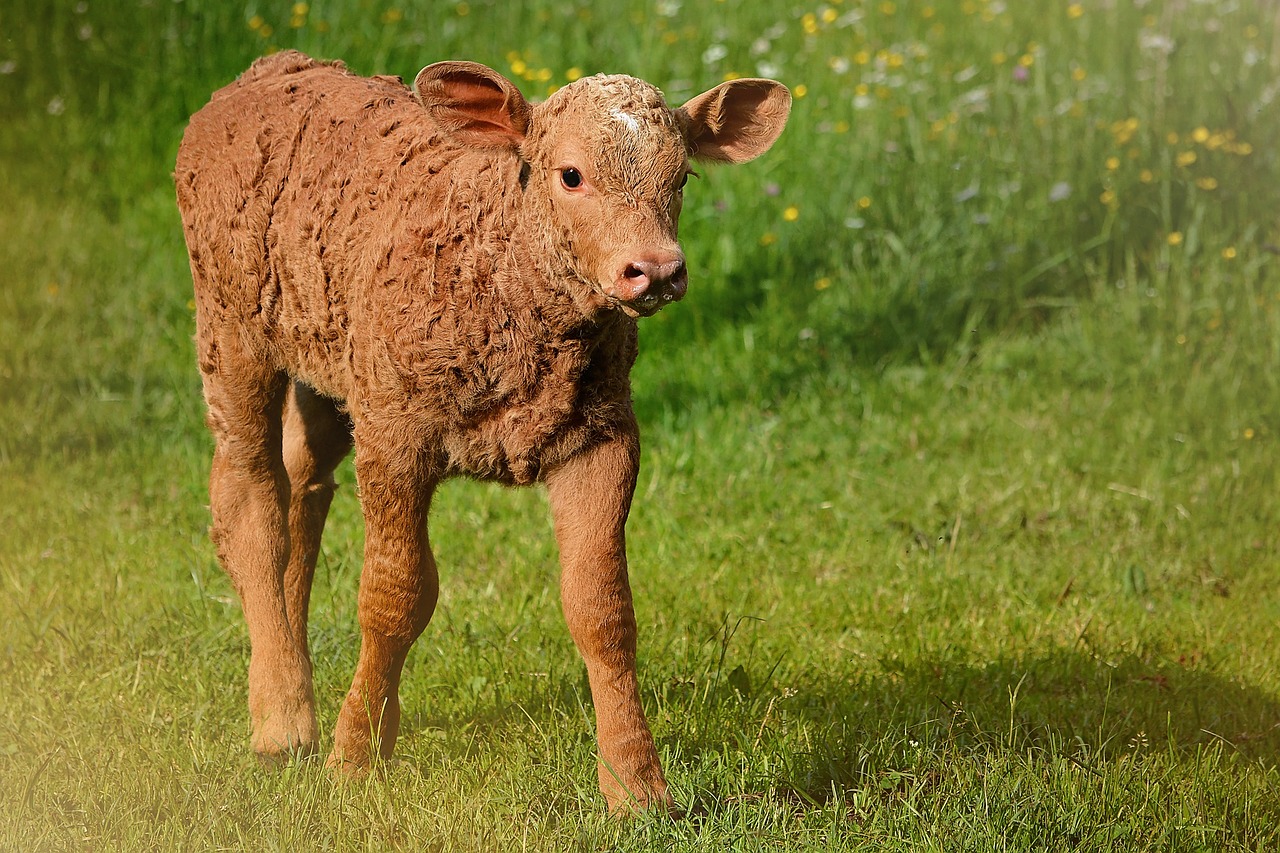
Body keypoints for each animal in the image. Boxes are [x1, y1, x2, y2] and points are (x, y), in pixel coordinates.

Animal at [174, 49, 783, 809]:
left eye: (681, 178)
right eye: (571, 174)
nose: (657, 270)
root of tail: (271, 66)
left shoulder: (604, 438)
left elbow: (602, 608)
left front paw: (637, 787)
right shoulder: (395, 432)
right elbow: (395, 595)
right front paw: (355, 756)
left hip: (327, 361)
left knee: (302, 487)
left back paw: (297, 684)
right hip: (231, 329)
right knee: (248, 494)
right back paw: (283, 719)